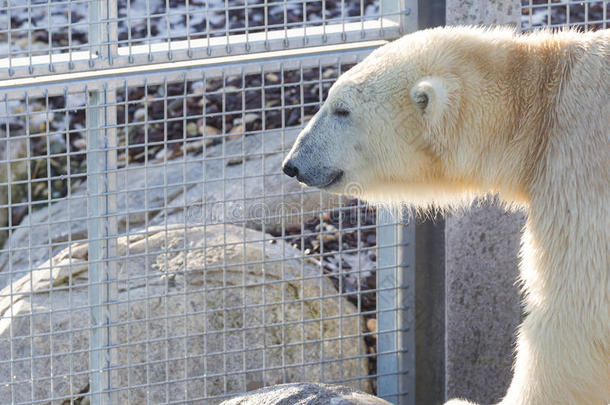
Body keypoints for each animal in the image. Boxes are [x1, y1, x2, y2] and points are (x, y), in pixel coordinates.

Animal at [282, 26, 608, 404]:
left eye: (342, 110)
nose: (292, 164)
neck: (540, 106)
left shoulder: (579, 167)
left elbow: (576, 314)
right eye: (330, 100)